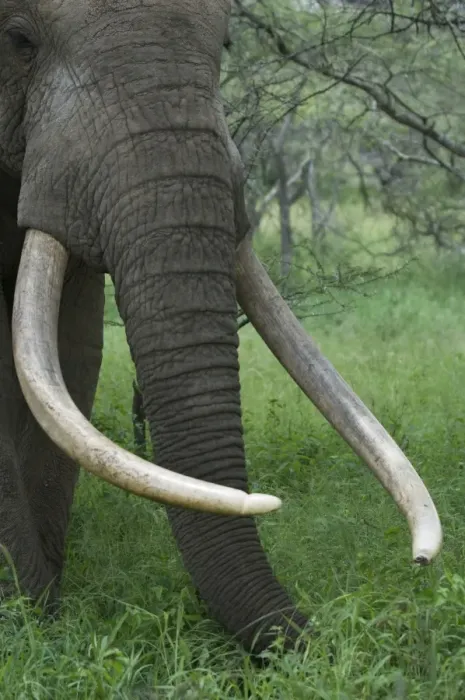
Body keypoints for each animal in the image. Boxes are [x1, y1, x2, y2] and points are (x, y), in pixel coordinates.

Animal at [0, 0, 442, 653]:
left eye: (228, 43)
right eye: (19, 41)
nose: (416, 567)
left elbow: (70, 351)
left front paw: (42, 617)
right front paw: (32, 622)